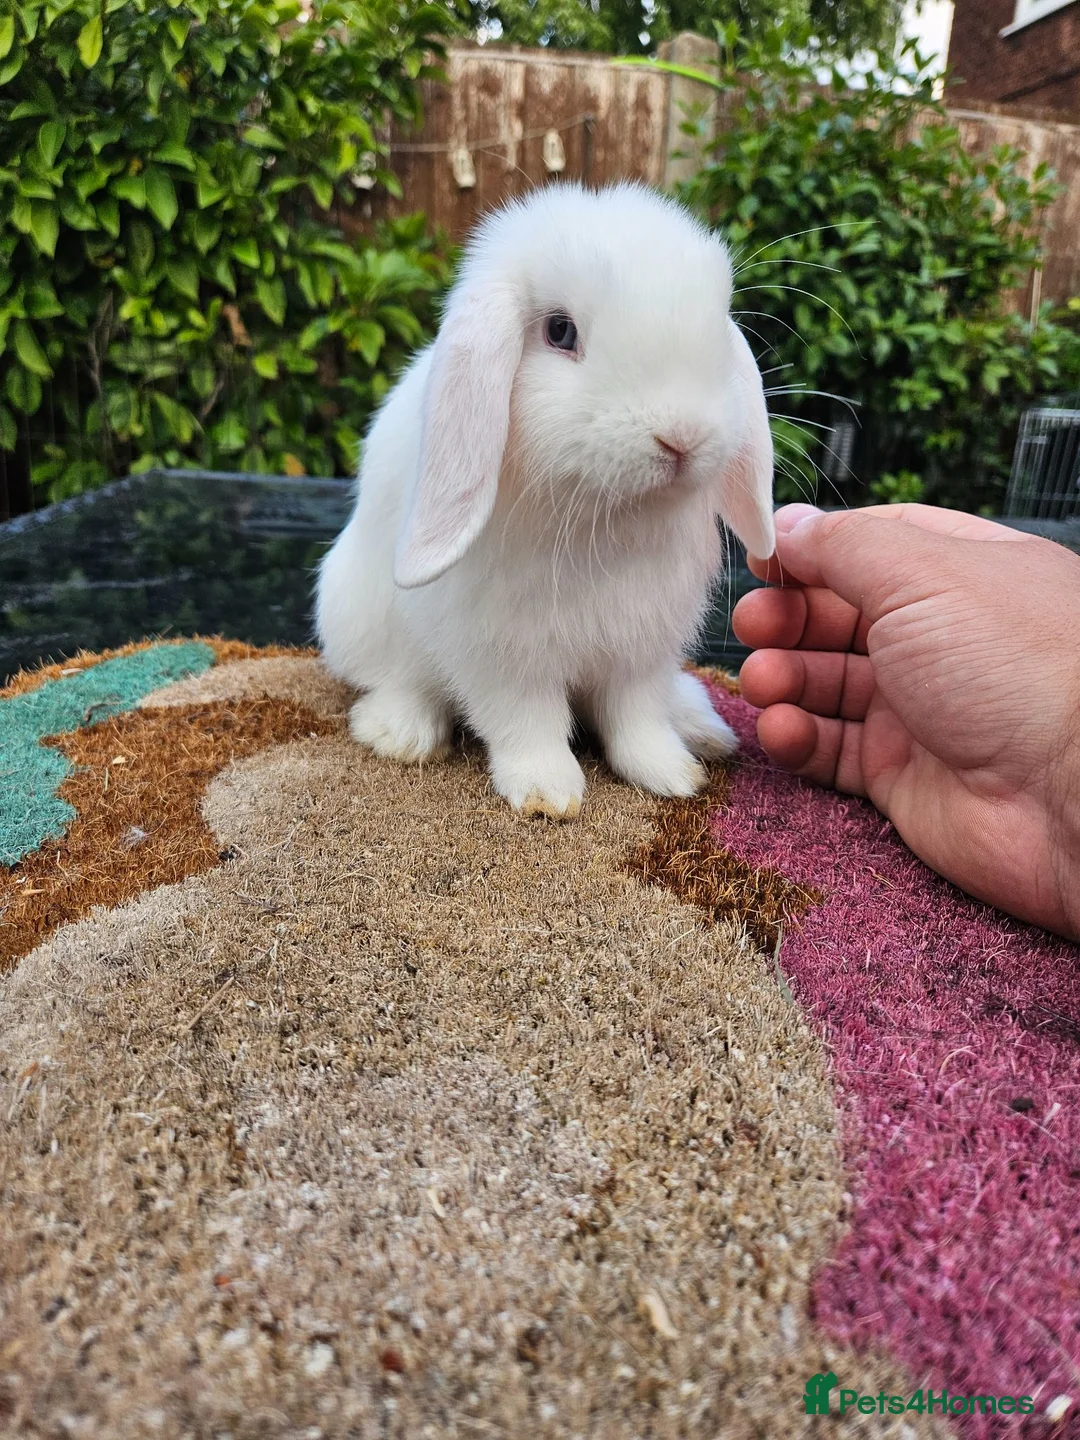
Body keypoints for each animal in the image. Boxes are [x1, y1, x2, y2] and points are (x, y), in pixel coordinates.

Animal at [315, 181, 775, 819]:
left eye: (716, 328)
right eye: (560, 332)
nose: (682, 436)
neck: (608, 520)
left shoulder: (640, 647)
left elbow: (636, 720)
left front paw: (672, 775)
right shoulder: (504, 651)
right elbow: (526, 720)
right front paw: (547, 794)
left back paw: (702, 730)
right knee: (403, 680)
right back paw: (399, 733)